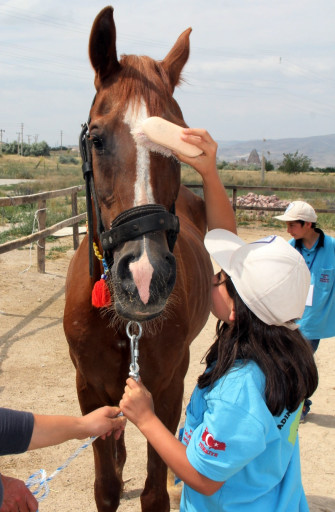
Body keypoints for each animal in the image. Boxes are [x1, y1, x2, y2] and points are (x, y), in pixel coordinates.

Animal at [63, 5, 213, 512]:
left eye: (185, 142)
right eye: (97, 139)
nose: (144, 275)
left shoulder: (165, 391)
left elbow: (154, 491)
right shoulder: (89, 391)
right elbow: (106, 486)